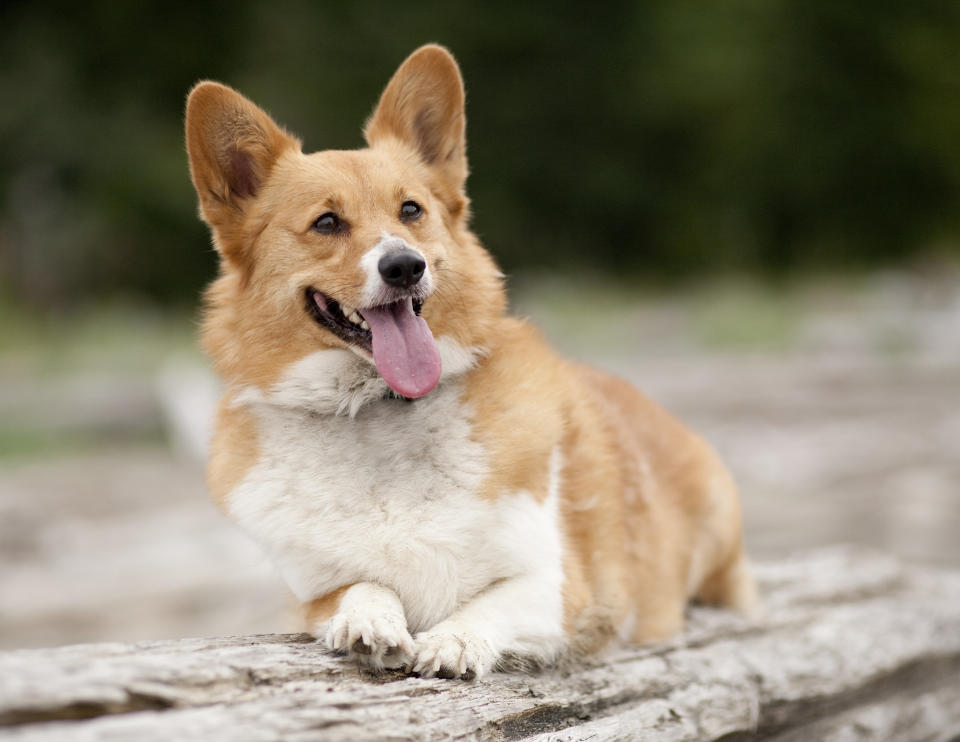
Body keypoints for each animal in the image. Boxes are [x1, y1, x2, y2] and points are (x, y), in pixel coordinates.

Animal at [186, 42, 756, 680]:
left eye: (411, 210)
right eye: (326, 222)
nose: (404, 266)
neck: (379, 409)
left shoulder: (566, 587)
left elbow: (491, 602)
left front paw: (453, 642)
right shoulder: (310, 594)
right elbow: (362, 586)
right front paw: (369, 623)